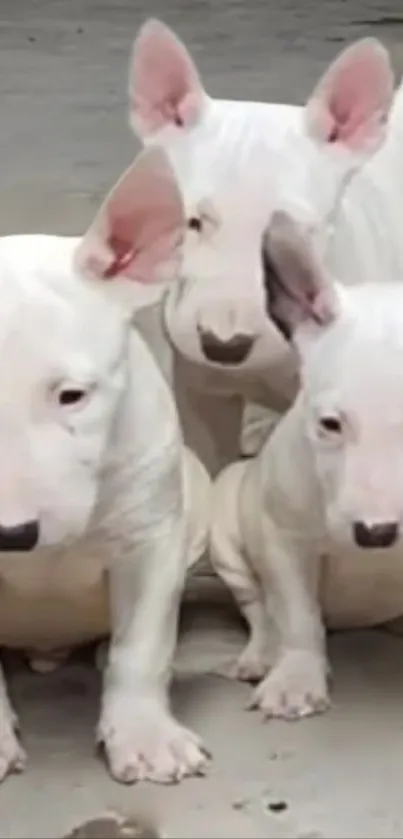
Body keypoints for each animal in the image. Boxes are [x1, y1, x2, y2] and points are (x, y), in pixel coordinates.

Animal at [211, 210, 403, 720]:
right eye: (330, 424)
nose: (377, 533)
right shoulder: (283, 540)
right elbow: (297, 615)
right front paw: (296, 679)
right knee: (260, 609)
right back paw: (261, 655)